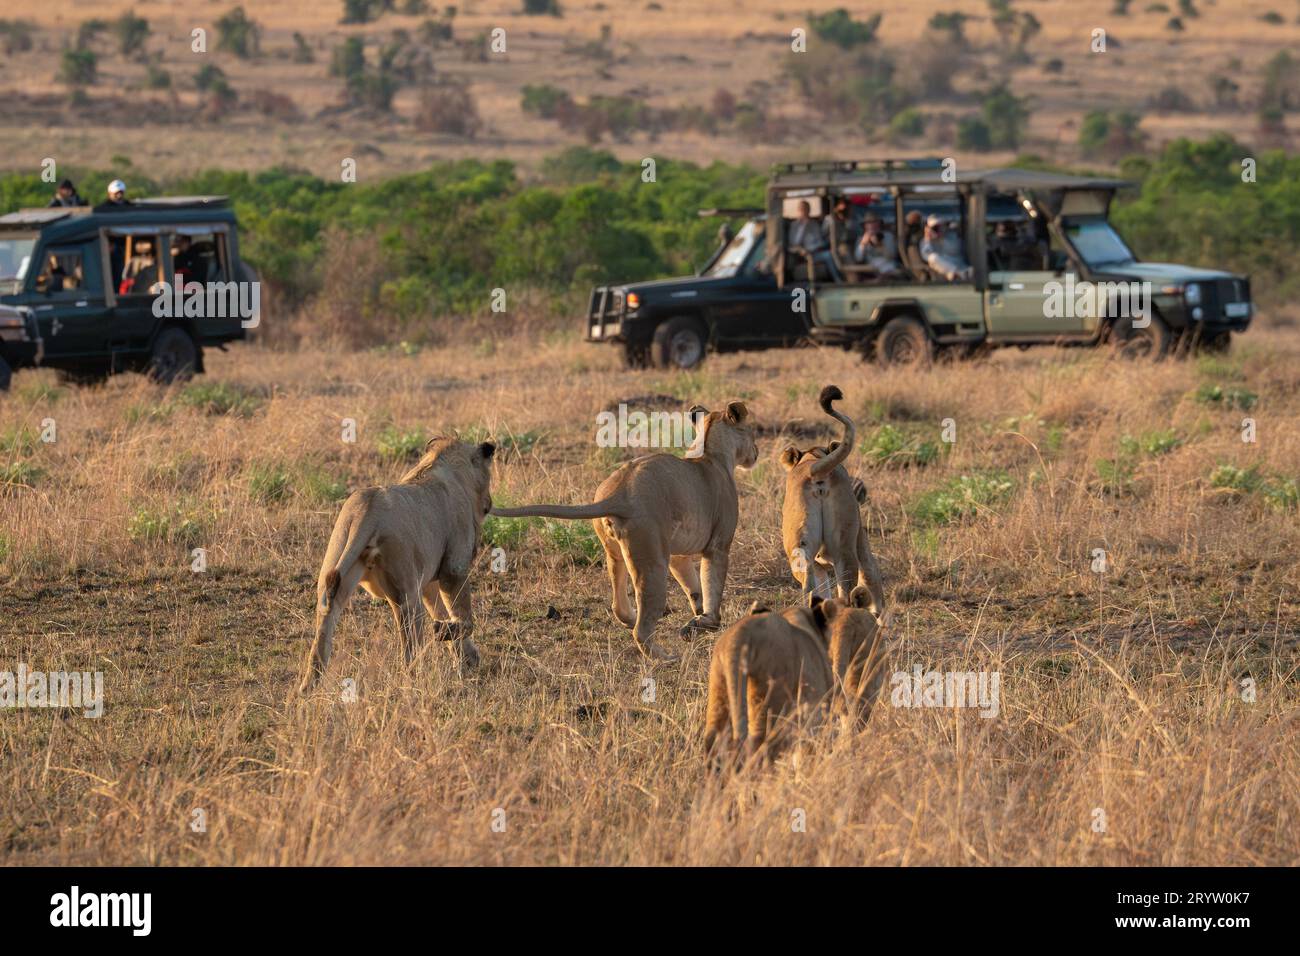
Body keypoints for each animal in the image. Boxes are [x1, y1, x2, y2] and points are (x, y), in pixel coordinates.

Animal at [298, 437, 495, 693]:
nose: (490, 503)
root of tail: (368, 511)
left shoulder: (429, 581)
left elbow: (444, 611)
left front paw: (466, 655)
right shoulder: (454, 568)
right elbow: (464, 618)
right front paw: (448, 635)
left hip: (337, 565)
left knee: (326, 616)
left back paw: (309, 686)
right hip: (406, 593)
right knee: (410, 648)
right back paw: (417, 682)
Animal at [490, 401, 758, 661]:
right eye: (750, 432)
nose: (756, 451)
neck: (711, 453)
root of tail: (620, 494)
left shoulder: (678, 555)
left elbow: (694, 587)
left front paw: (697, 619)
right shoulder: (718, 545)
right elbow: (712, 584)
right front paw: (708, 622)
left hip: (616, 552)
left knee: (617, 603)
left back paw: (630, 618)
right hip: (653, 561)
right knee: (643, 626)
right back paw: (665, 657)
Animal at [780, 385, 885, 614]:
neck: (813, 456)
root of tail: (814, 469)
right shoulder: (862, 544)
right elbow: (873, 581)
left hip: (800, 548)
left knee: (810, 587)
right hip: (844, 547)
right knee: (843, 593)